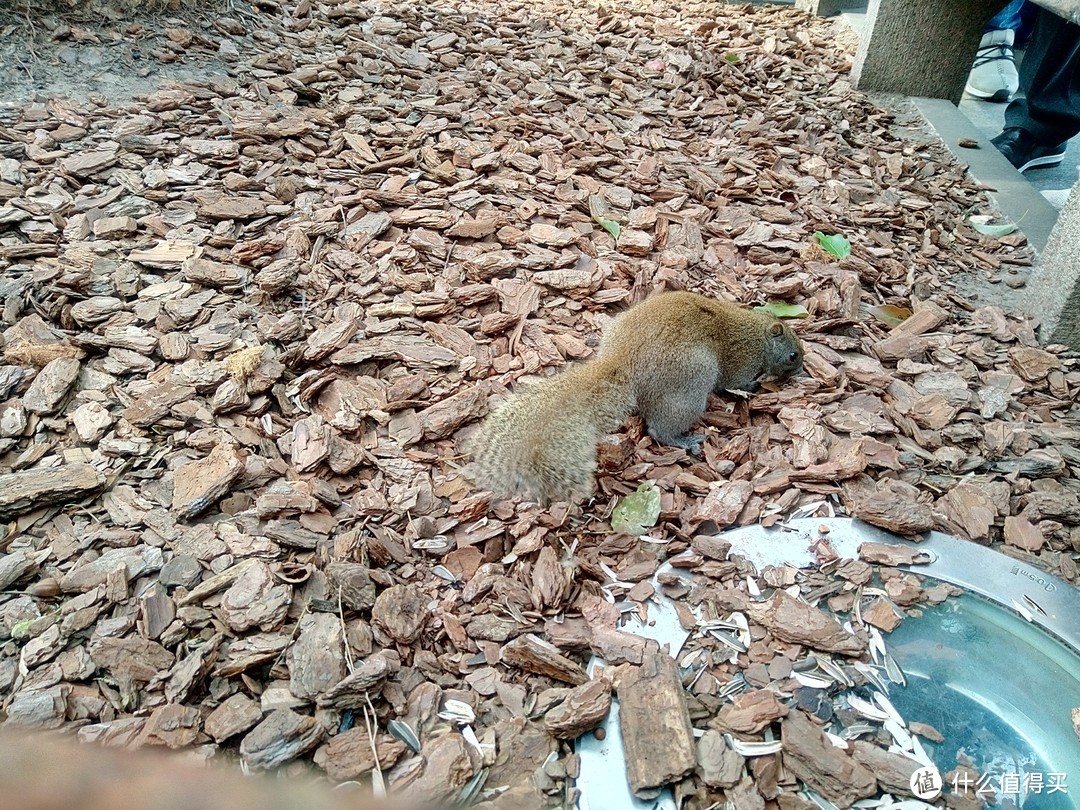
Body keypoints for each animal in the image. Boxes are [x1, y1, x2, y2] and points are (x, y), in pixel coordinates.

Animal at [468, 291, 807, 505]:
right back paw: (684, 440)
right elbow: (735, 384)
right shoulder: (741, 361)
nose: (803, 369)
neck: (757, 334)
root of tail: (622, 356)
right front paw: (755, 385)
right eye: (793, 354)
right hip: (691, 380)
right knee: (660, 428)